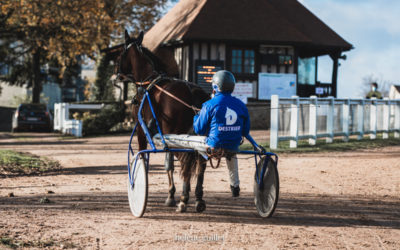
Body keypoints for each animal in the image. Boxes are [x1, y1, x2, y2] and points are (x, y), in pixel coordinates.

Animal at [117, 30, 211, 212]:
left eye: (121, 54)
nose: (117, 74)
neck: (147, 83)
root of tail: (192, 90)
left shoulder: (141, 130)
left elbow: (144, 157)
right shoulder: (164, 136)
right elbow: (169, 164)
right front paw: (171, 195)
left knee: (186, 162)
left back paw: (184, 199)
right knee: (200, 163)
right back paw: (198, 199)